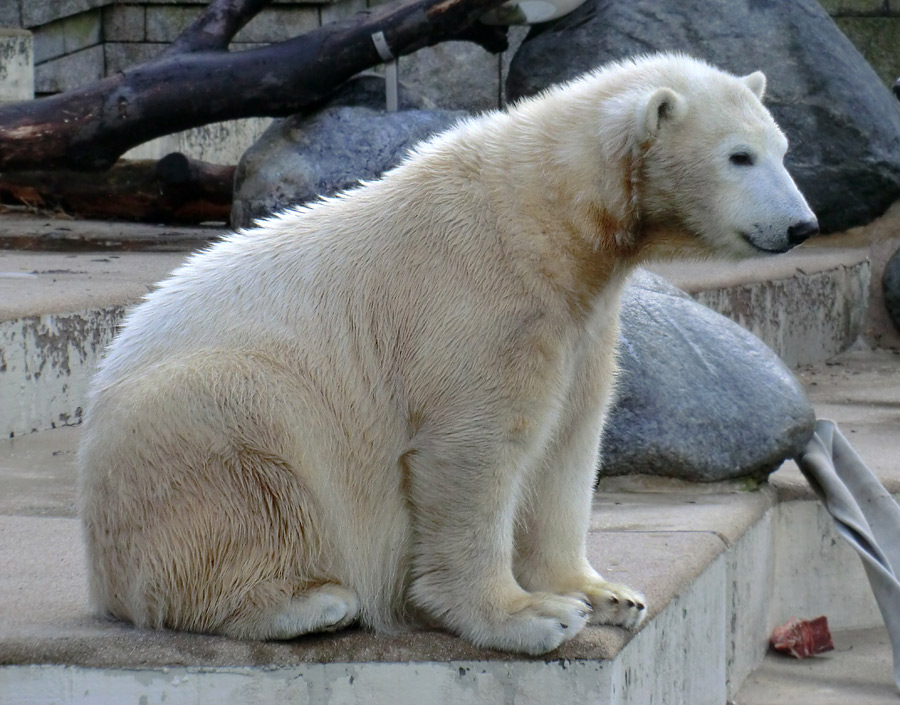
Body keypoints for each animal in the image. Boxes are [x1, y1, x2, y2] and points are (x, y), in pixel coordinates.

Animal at [81, 52, 820, 652]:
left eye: (782, 148)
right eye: (739, 156)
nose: (801, 225)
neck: (543, 219)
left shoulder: (579, 320)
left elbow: (570, 440)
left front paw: (605, 594)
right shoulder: (475, 298)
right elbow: (474, 447)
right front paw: (531, 616)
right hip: (194, 425)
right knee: (245, 465)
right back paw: (310, 603)